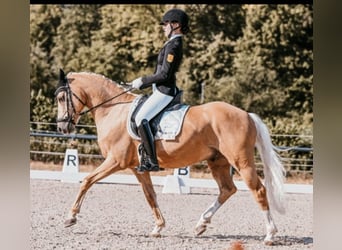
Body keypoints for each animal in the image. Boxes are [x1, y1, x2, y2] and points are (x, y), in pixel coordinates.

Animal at [55, 69, 286, 245]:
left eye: (61, 98)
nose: (62, 127)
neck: (114, 111)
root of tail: (247, 115)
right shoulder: (137, 168)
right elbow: (150, 195)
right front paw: (158, 227)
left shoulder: (115, 161)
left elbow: (87, 181)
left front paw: (70, 218)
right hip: (217, 162)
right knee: (227, 189)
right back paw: (200, 224)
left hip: (241, 161)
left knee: (258, 190)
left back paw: (270, 235)